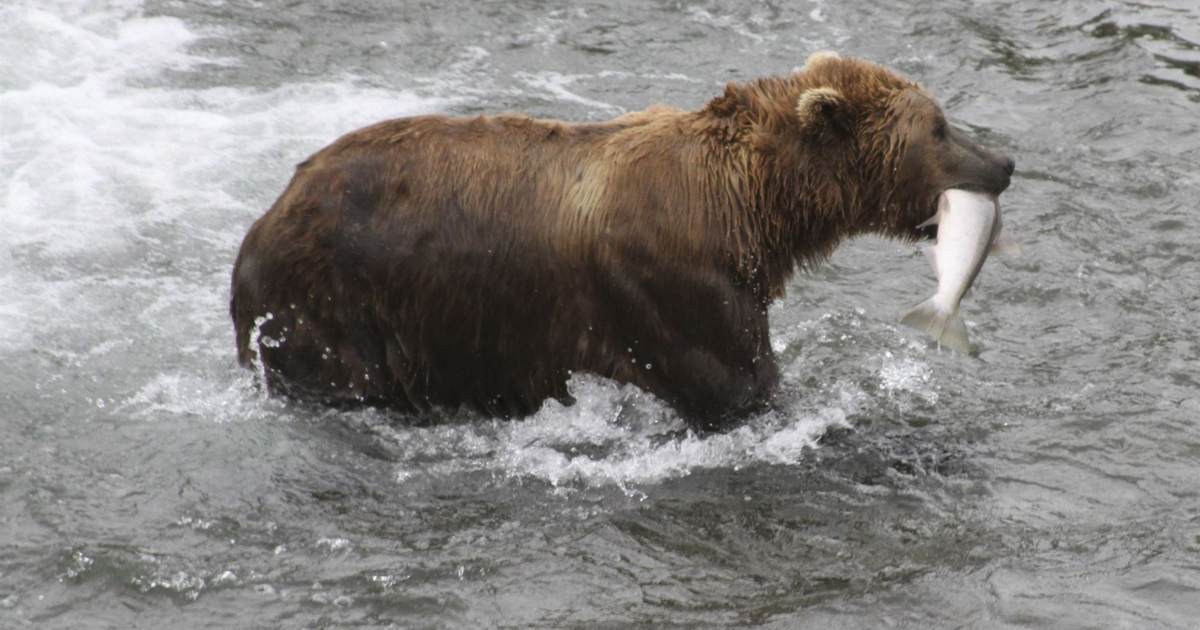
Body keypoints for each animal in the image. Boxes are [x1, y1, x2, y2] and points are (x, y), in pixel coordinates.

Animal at [230, 52, 1013, 431]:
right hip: (331, 303)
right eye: (939, 126)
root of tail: (264, 218)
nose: (1004, 162)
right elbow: (741, 387)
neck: (752, 209)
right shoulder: (673, 287)